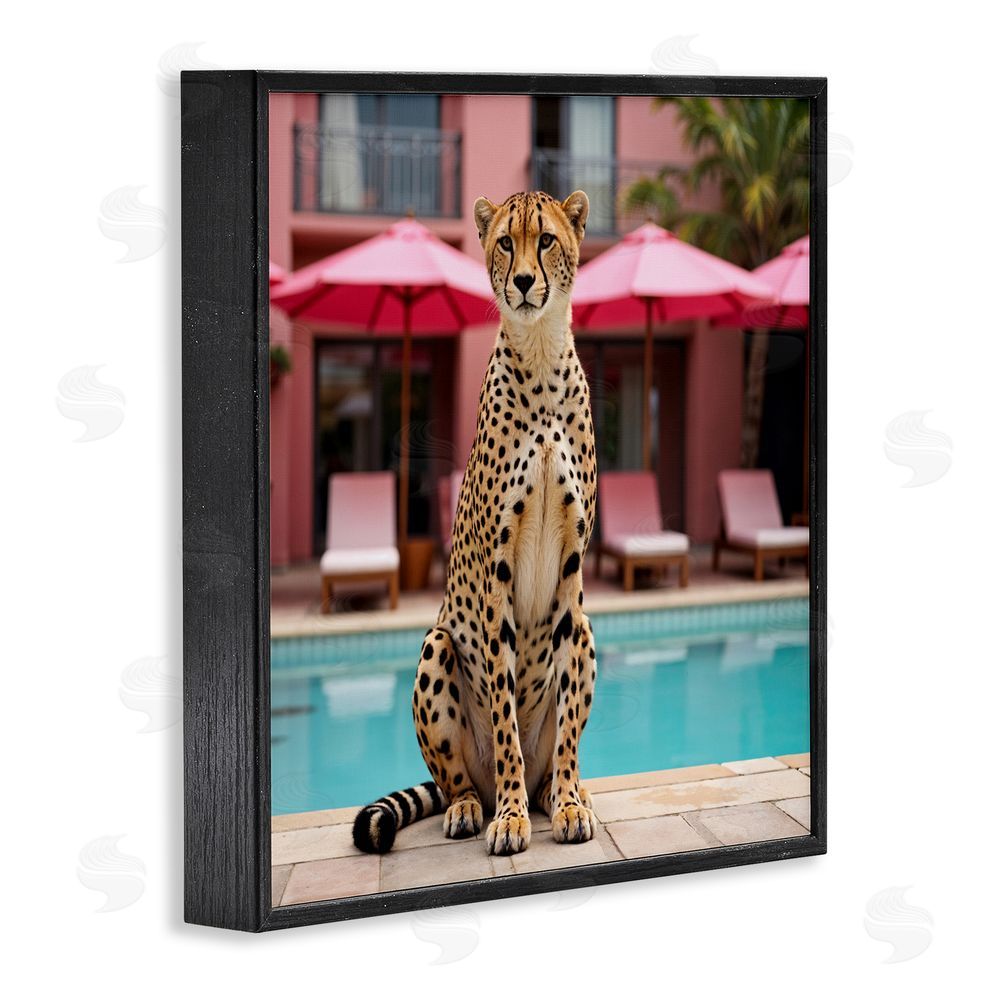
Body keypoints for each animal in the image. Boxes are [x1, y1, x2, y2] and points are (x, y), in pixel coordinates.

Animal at [353, 189, 598, 856]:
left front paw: (568, 802)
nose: (523, 282)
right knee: (458, 779)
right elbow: (505, 715)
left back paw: (559, 792)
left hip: (589, 631)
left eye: (545, 240)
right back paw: (475, 806)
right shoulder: (496, 570)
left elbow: (566, 719)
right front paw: (510, 818)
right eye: (505, 243)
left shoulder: (573, 573)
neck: (540, 356)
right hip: (436, 645)